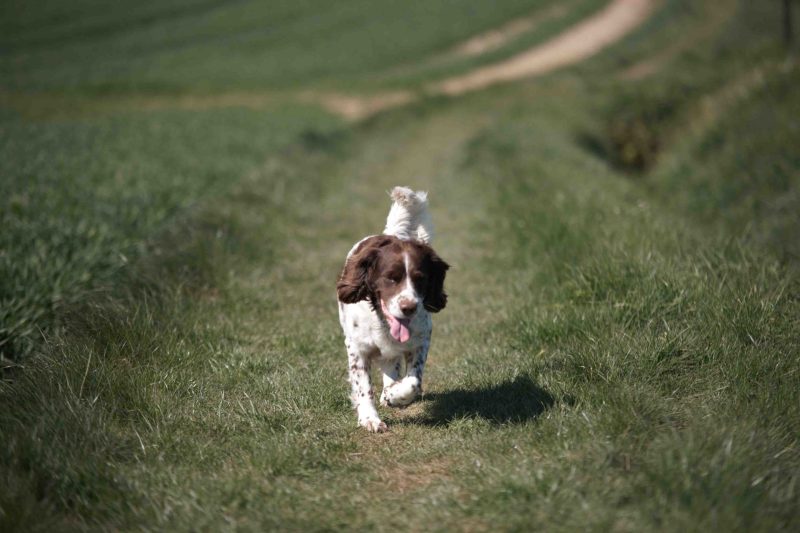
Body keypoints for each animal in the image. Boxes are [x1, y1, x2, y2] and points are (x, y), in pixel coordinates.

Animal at [336, 185, 450, 430]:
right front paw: (370, 419)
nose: (409, 307)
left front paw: (394, 395)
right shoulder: (357, 347)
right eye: (391, 278)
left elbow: (413, 381)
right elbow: (363, 386)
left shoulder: (421, 340)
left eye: (420, 279)